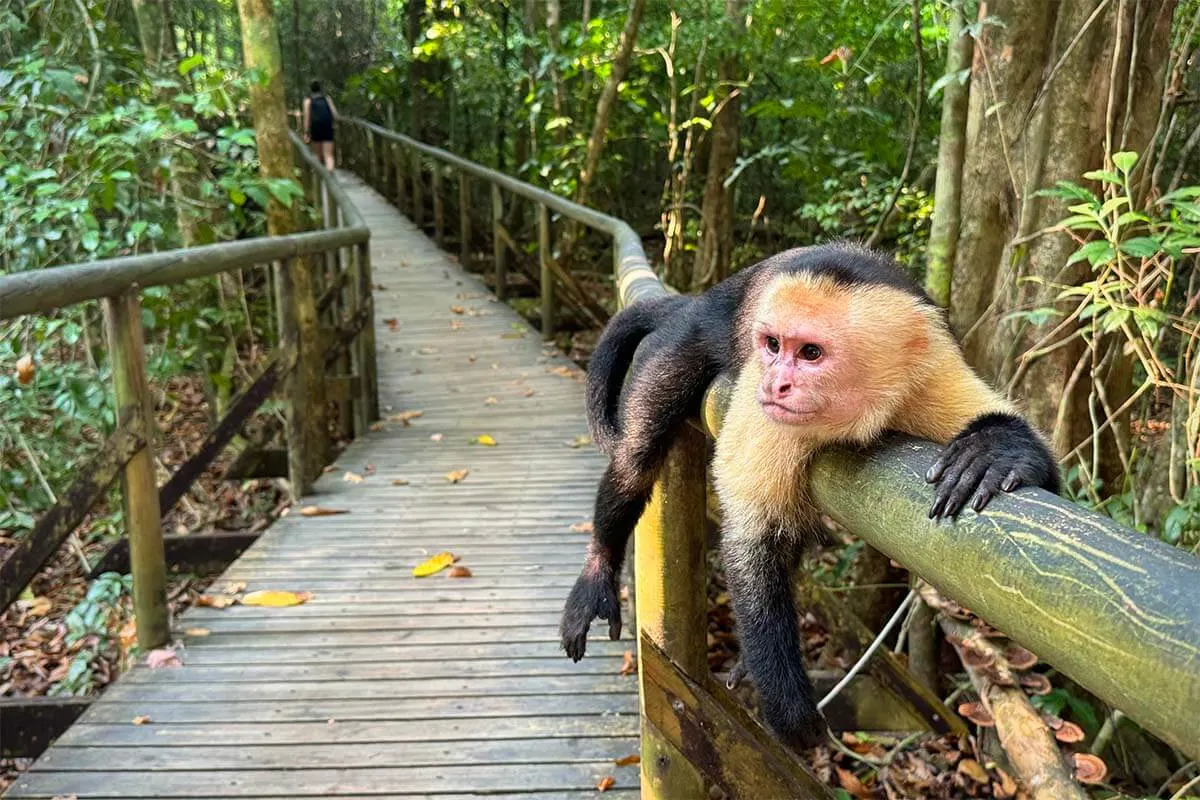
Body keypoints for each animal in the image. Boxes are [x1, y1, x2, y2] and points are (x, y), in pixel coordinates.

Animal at [561, 242, 1060, 753]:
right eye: (773, 346)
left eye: (811, 353)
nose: (775, 383)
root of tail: (706, 299)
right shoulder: (764, 407)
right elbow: (753, 538)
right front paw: (787, 707)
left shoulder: (929, 374)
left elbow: (1041, 469)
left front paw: (996, 450)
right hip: (684, 342)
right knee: (638, 455)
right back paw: (599, 566)